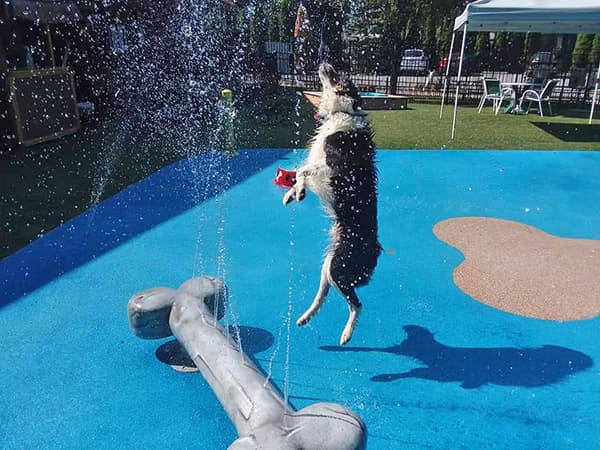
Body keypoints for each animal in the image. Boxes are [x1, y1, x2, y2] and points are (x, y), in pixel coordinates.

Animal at [282, 63, 380, 344]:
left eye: (339, 76)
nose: (325, 62)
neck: (342, 112)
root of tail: (377, 249)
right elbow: (300, 171)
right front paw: (292, 193)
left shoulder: (334, 162)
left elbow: (303, 170)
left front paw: (299, 191)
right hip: (329, 266)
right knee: (323, 296)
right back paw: (305, 317)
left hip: (339, 267)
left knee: (357, 304)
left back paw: (346, 334)